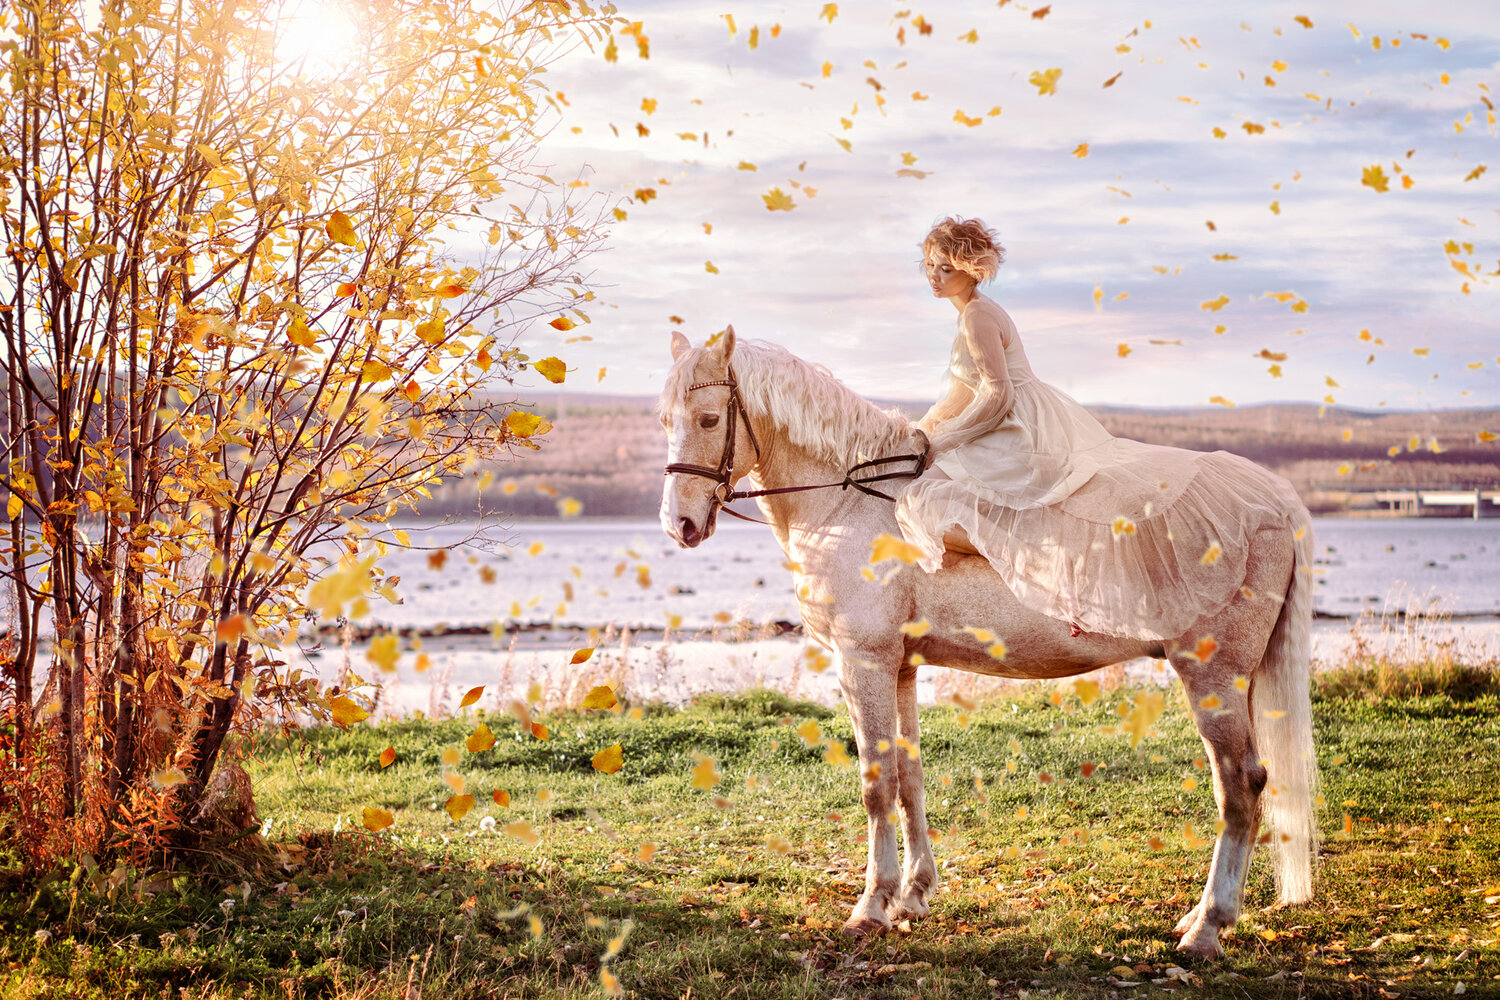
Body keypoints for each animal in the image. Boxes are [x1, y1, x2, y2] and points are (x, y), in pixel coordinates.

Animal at [657, 327, 1320, 958]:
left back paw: (1207, 927)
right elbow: (909, 777)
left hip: (1212, 677)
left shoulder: (863, 663)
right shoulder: (901, 669)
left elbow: (877, 784)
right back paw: (1202, 916)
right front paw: (912, 896)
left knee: (1240, 785)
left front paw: (871, 907)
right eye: (665, 421)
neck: (848, 504)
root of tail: (1275, 499)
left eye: (709, 419)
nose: (679, 525)